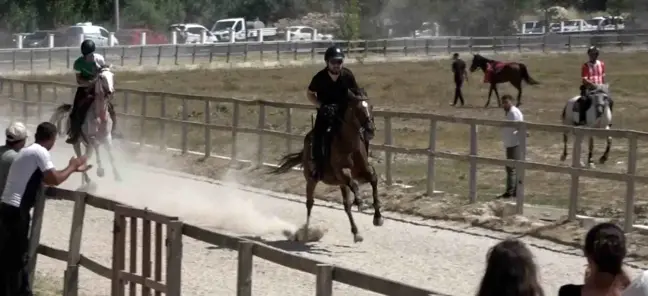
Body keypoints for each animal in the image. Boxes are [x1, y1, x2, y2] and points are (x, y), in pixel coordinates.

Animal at [270, 88, 382, 243]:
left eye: (370, 107)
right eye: (357, 109)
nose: (370, 129)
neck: (350, 146)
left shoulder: (364, 171)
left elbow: (373, 180)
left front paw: (377, 217)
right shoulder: (342, 172)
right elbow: (354, 184)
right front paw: (360, 202)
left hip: (339, 184)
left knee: (346, 206)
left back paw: (356, 233)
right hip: (312, 180)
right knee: (309, 203)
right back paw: (305, 232)